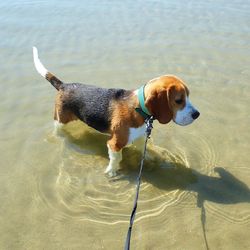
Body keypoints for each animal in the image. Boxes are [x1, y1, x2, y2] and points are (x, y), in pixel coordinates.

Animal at [32, 47, 199, 176]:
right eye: (178, 100)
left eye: (188, 96)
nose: (197, 115)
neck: (138, 108)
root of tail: (64, 85)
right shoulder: (114, 144)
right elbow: (116, 159)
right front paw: (112, 172)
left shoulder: (140, 137)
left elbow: (143, 149)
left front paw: (150, 157)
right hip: (61, 119)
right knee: (57, 129)